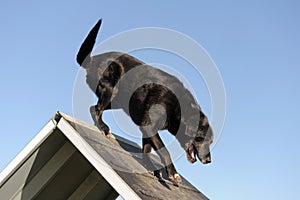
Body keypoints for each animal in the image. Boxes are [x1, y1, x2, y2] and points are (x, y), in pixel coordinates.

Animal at [77, 19, 213, 183]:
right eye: (200, 139)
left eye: (211, 141)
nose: (208, 160)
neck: (178, 108)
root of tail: (92, 59)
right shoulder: (149, 125)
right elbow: (164, 150)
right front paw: (173, 173)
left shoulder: (145, 127)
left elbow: (147, 149)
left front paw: (151, 168)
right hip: (111, 90)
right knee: (96, 109)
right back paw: (104, 129)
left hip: (119, 102)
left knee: (93, 107)